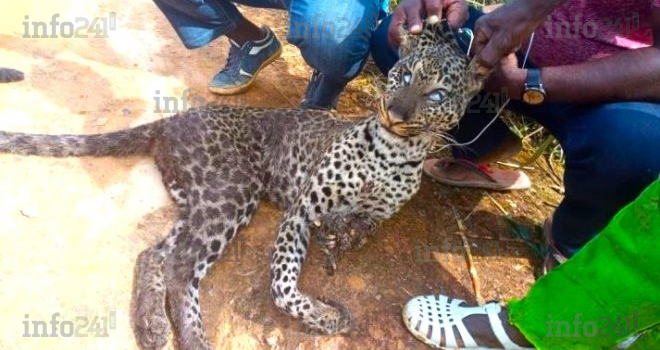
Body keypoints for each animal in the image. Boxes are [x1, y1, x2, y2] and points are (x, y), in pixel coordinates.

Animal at [0, 21, 484, 350]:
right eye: (404, 76)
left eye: (437, 94)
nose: (395, 112)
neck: (394, 150)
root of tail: (173, 120)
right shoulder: (301, 209)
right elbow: (284, 286)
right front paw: (325, 317)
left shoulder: (377, 215)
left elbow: (362, 224)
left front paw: (341, 236)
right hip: (231, 192)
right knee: (181, 266)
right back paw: (193, 338)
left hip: (200, 201)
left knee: (156, 254)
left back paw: (153, 327)